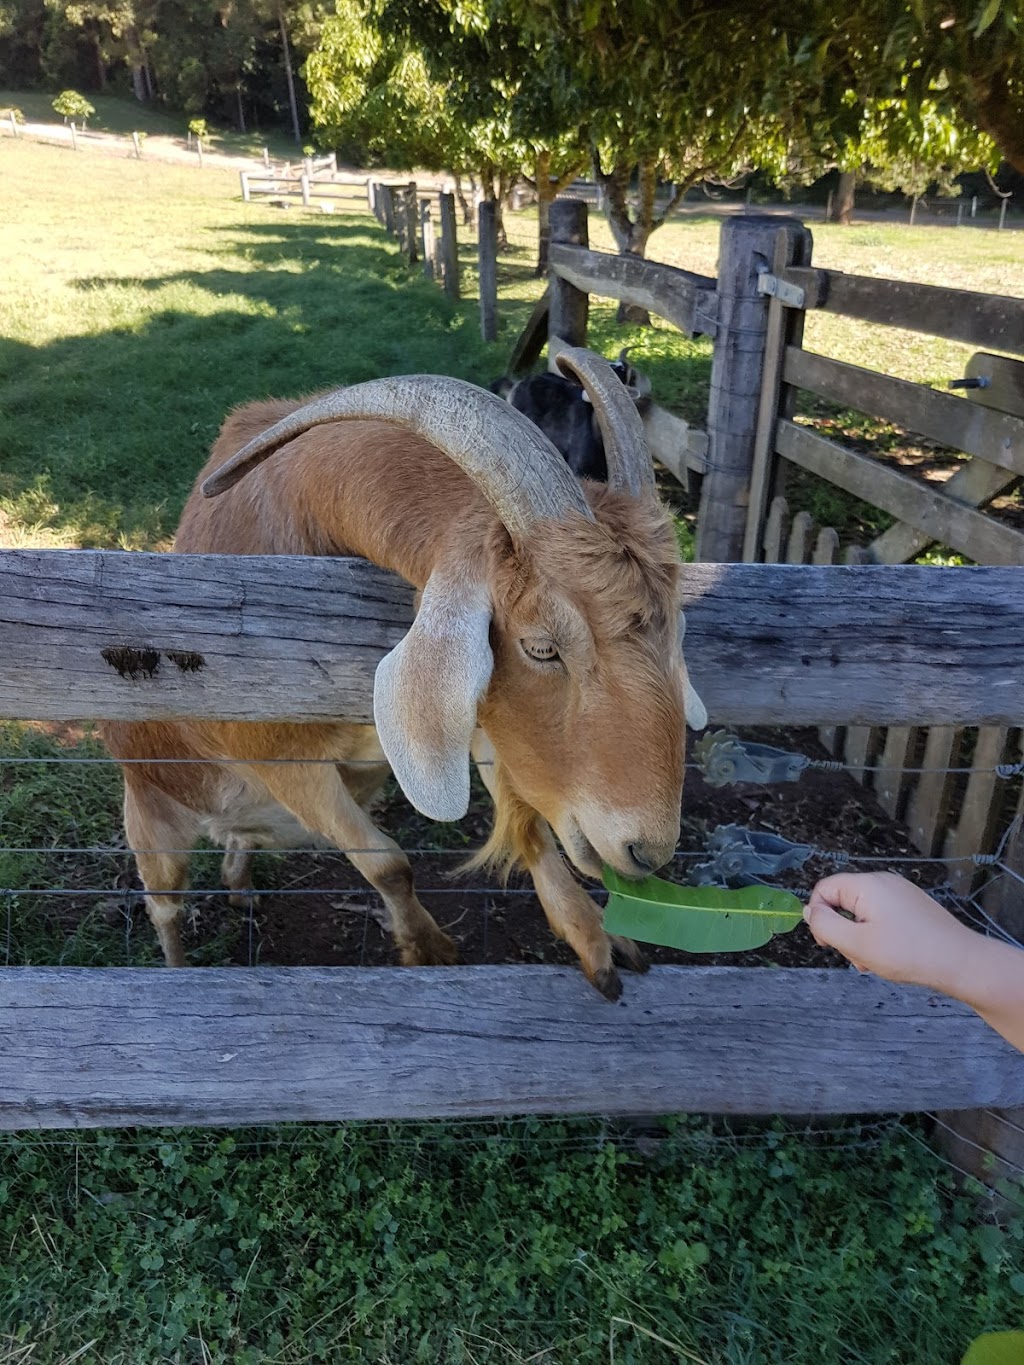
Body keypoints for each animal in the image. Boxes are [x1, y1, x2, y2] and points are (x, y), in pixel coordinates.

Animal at [106, 346, 704, 999]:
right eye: (542, 648)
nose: (646, 850)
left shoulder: (483, 717)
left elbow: (528, 818)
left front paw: (596, 937)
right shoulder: (278, 757)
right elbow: (388, 862)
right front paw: (429, 949)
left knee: (235, 850)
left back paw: (242, 891)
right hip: (152, 819)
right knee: (164, 906)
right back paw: (176, 967)